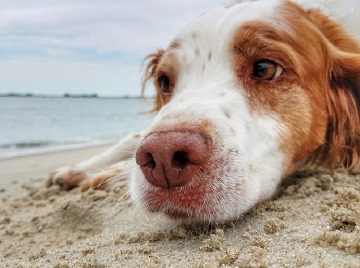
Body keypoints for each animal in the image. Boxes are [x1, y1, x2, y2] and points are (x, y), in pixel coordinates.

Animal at [47, 0, 360, 222]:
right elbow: (132, 138)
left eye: (265, 68)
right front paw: (79, 169)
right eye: (164, 81)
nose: (162, 156)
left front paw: (103, 175)